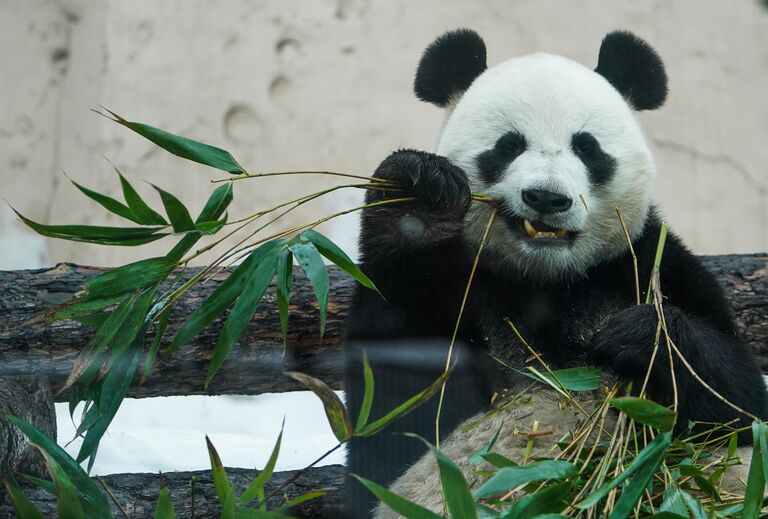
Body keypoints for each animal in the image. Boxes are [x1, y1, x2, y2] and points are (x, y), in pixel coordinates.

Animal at [344, 29, 768, 519]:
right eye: (508, 146)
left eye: (587, 148)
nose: (546, 197)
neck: (545, 280)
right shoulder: (459, 286)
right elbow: (390, 417)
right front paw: (419, 196)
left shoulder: (648, 263)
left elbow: (738, 405)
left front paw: (639, 335)